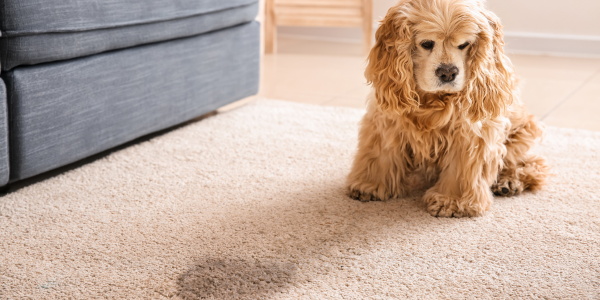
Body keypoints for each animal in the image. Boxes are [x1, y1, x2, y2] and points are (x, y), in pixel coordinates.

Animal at [346, 0, 548, 217]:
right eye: (427, 43)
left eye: (464, 44)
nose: (448, 72)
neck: (433, 100)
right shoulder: (387, 120)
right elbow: (380, 155)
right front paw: (370, 185)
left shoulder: (471, 134)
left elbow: (461, 168)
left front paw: (452, 201)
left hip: (521, 133)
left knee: (533, 163)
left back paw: (508, 182)